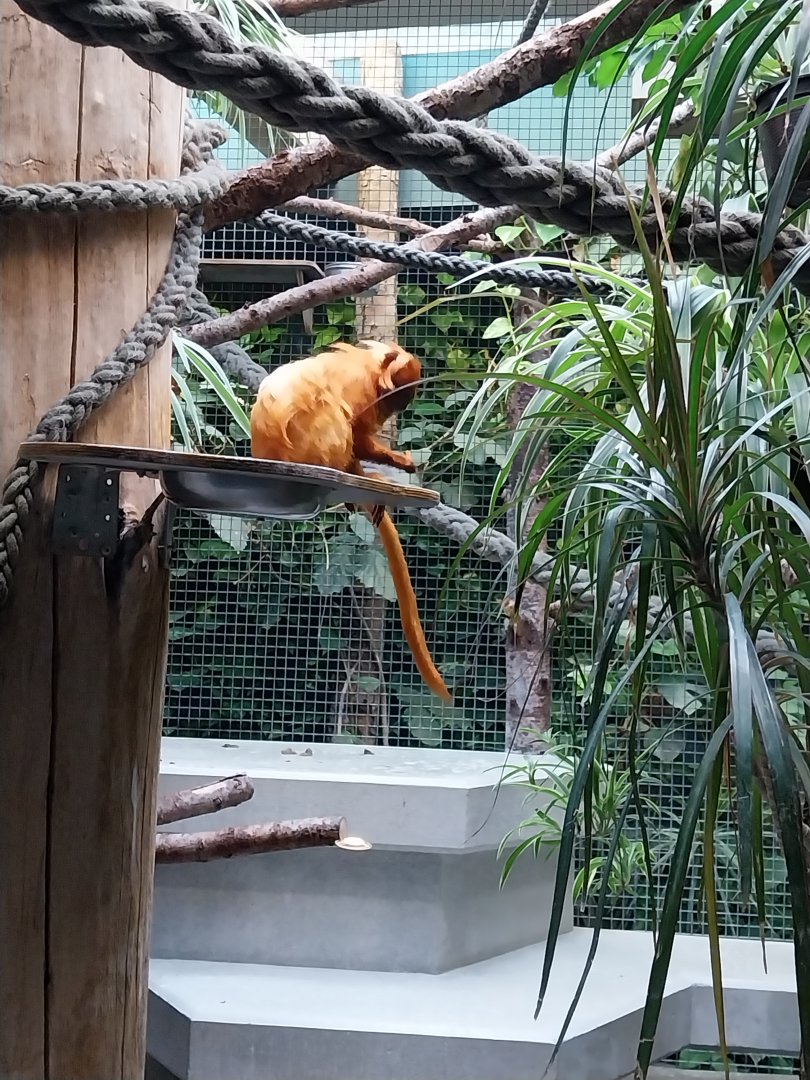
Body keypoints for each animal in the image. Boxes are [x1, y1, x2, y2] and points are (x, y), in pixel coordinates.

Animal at [250, 339, 453, 704]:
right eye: (391, 399)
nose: (389, 413)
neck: (370, 369)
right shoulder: (361, 390)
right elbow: (356, 433)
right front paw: (395, 462)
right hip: (312, 448)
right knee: (335, 419)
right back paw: (352, 475)